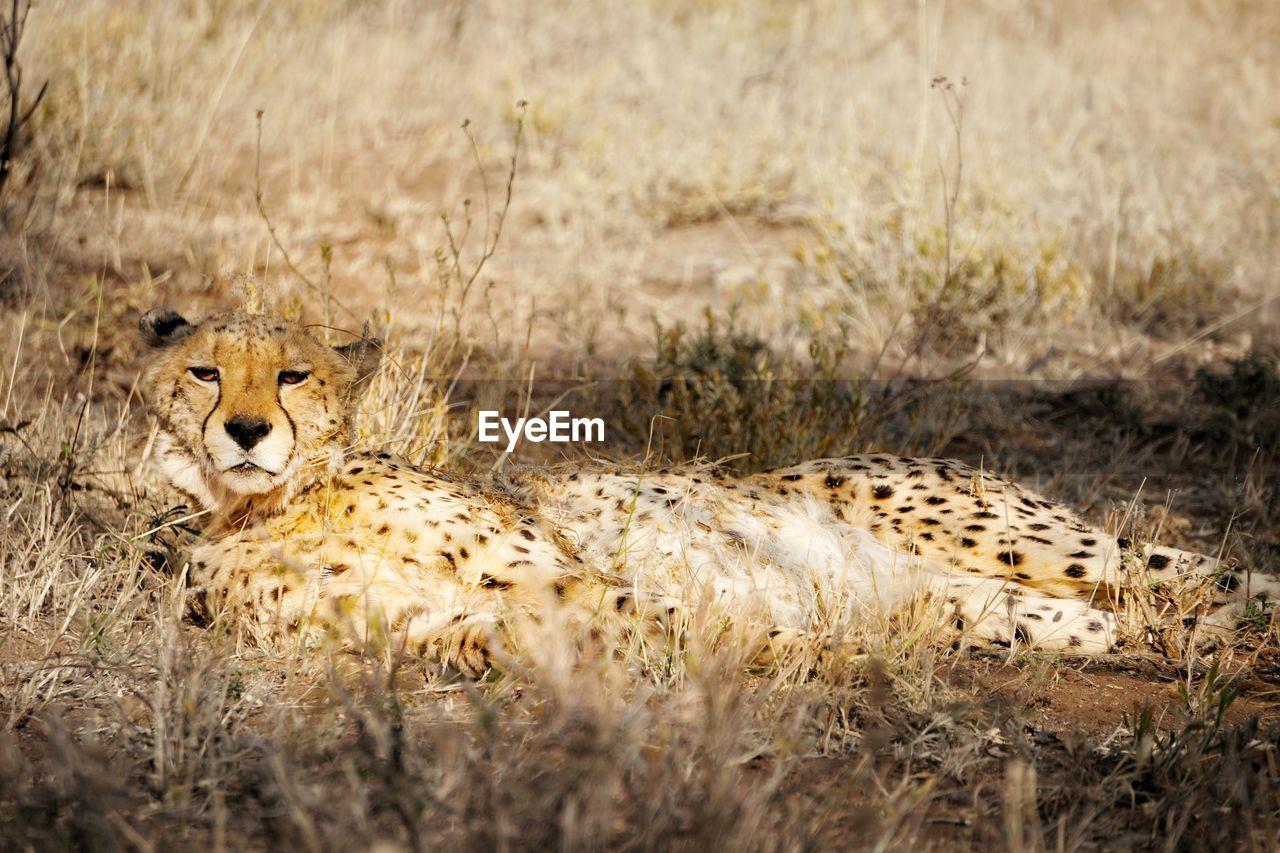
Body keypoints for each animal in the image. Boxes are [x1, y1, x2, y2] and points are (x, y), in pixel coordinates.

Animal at [135, 306, 1274, 671]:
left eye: (292, 374)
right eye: (206, 371)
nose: (246, 430)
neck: (274, 503)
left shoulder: (561, 575)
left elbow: (661, 614)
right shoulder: (443, 625)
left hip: (1029, 540)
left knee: (1211, 574)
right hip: (990, 602)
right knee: (1130, 617)